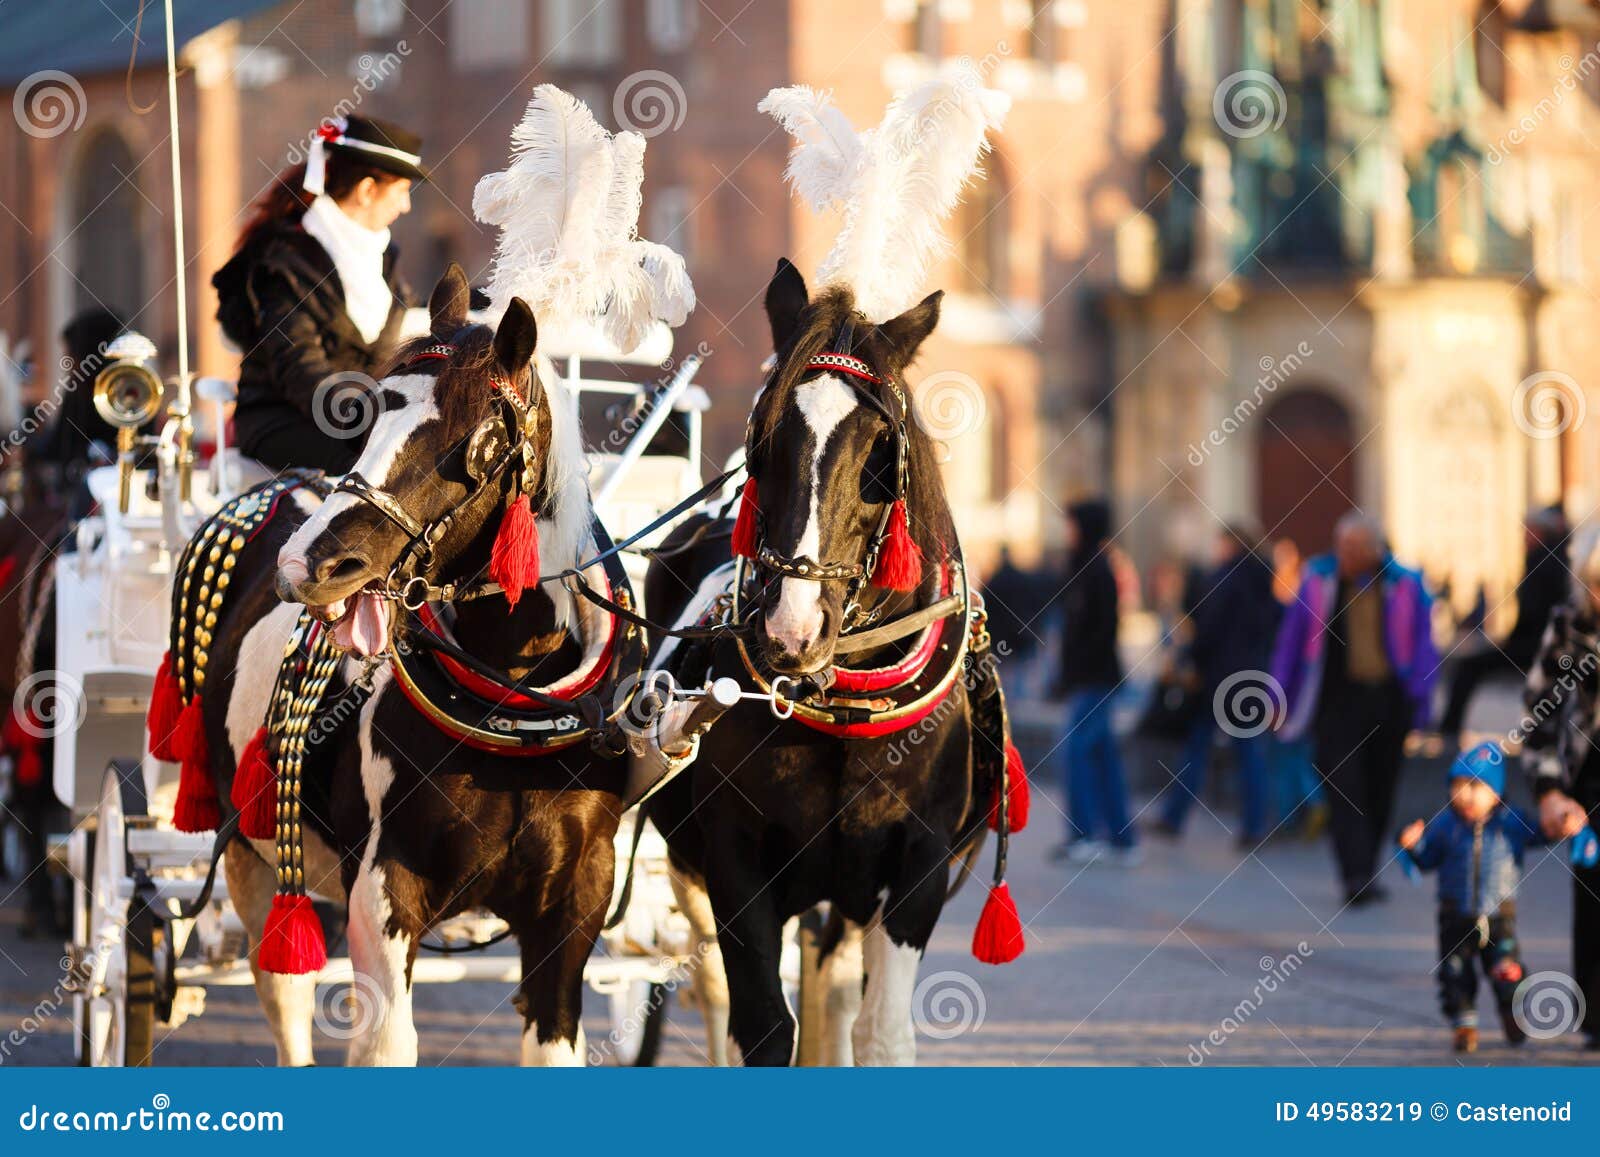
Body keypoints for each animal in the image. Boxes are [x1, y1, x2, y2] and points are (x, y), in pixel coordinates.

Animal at [152, 264, 633, 1068]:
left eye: (471, 441)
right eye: (364, 414)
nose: (309, 564)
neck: (513, 710)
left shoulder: (572, 908)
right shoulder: (383, 895)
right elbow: (383, 1042)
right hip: (246, 844)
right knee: (282, 989)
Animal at [636, 262, 1011, 1068]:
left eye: (881, 447)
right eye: (764, 432)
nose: (792, 629)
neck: (844, 703)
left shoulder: (916, 870)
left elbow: (881, 1032)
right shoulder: (736, 865)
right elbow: (763, 1026)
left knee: (836, 995)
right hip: (686, 865)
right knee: (715, 993)